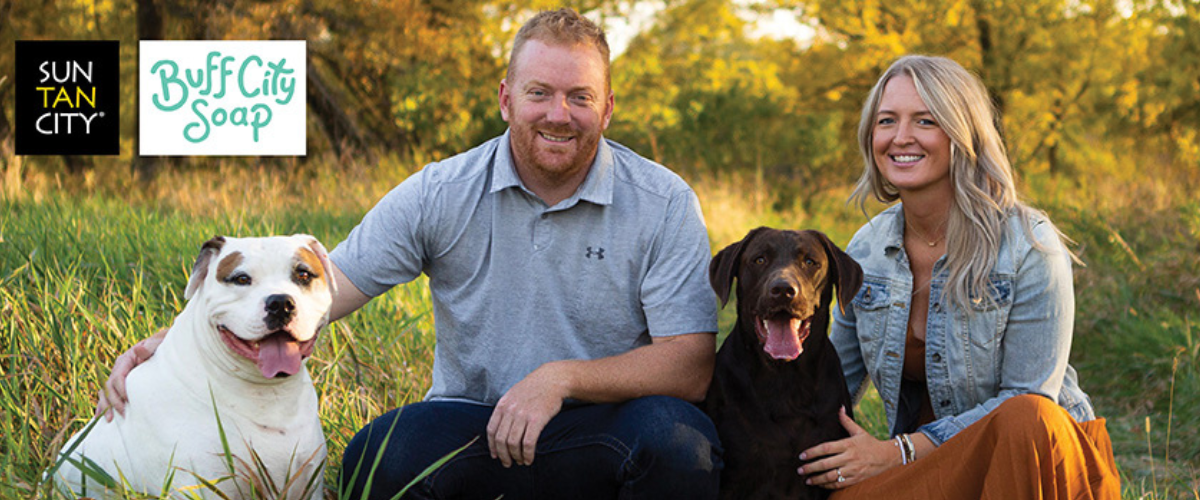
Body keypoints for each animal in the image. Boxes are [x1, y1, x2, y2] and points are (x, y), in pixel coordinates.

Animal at [51, 235, 331, 498]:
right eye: (241, 278)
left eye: (303, 274)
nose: (280, 303)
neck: (268, 395)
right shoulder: (203, 486)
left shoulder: (309, 483)